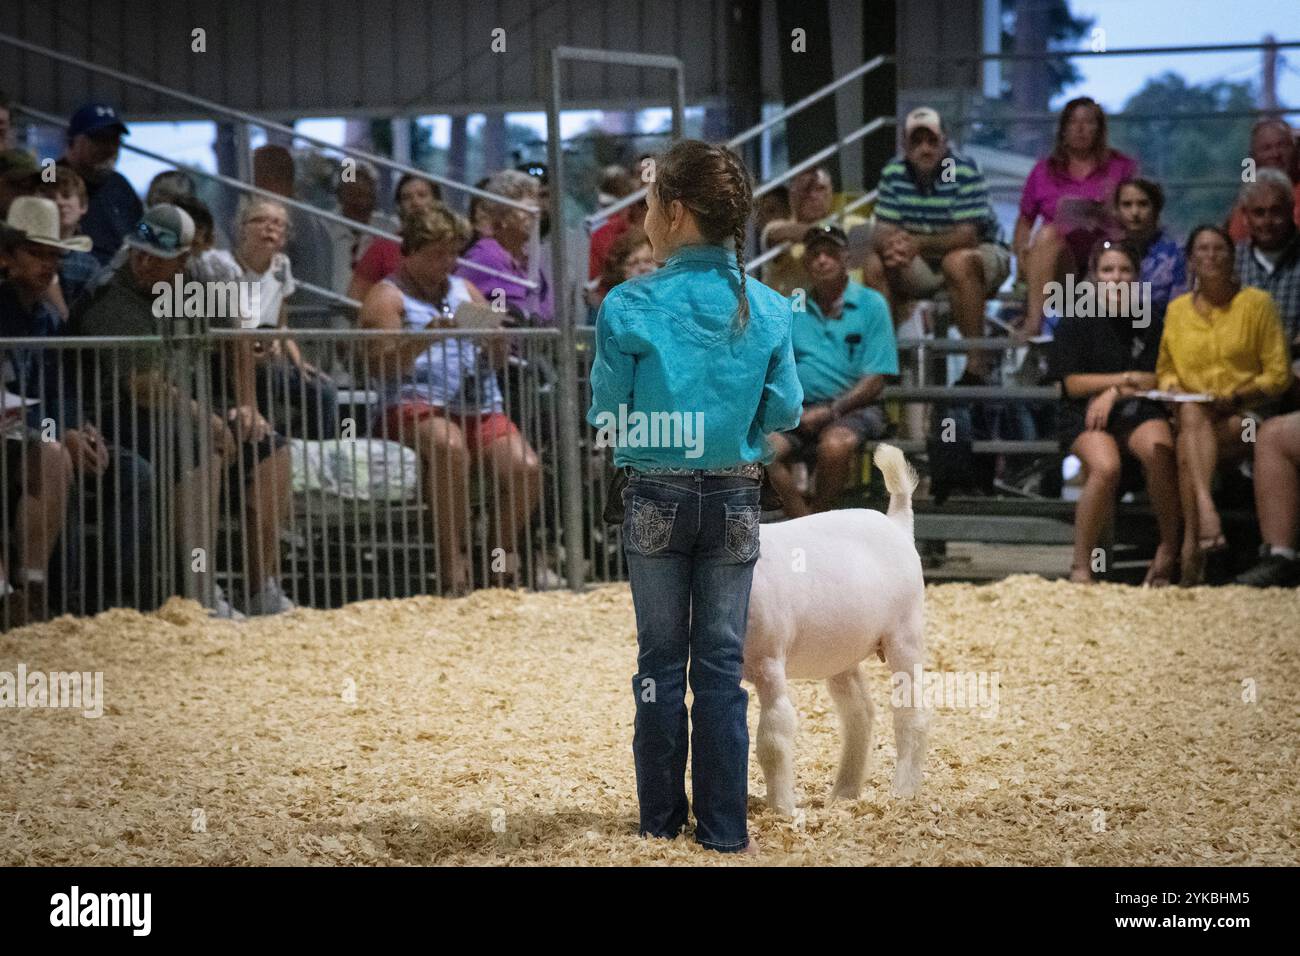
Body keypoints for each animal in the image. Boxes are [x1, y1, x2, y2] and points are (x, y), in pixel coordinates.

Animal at [743, 444, 925, 811]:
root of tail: (897, 522)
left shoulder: (768, 661)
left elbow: (773, 735)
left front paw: (781, 809)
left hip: (905, 634)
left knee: (910, 715)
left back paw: (903, 790)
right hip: (842, 654)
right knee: (860, 713)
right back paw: (844, 792)